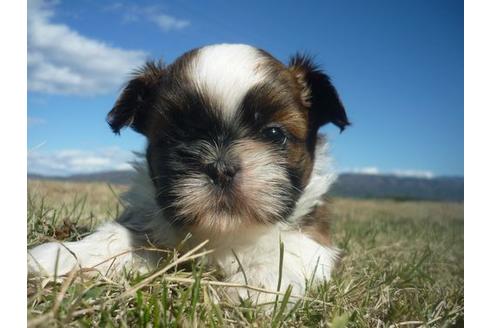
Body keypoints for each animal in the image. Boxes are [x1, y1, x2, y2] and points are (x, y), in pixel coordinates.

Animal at [27, 43, 350, 302]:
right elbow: (118, 237)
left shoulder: (314, 230)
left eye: (274, 134)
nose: (221, 168)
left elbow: (295, 246)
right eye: (175, 137)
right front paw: (65, 256)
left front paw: (260, 283)